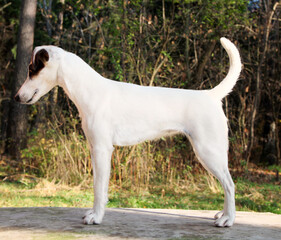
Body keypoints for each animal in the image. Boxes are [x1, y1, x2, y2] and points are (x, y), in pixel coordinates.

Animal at [14, 37, 241, 227]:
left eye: (32, 69)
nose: (16, 97)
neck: (90, 90)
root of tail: (210, 95)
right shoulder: (95, 150)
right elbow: (99, 185)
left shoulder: (102, 149)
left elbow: (98, 187)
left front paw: (96, 217)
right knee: (226, 184)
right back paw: (222, 214)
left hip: (208, 151)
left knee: (230, 185)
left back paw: (228, 219)